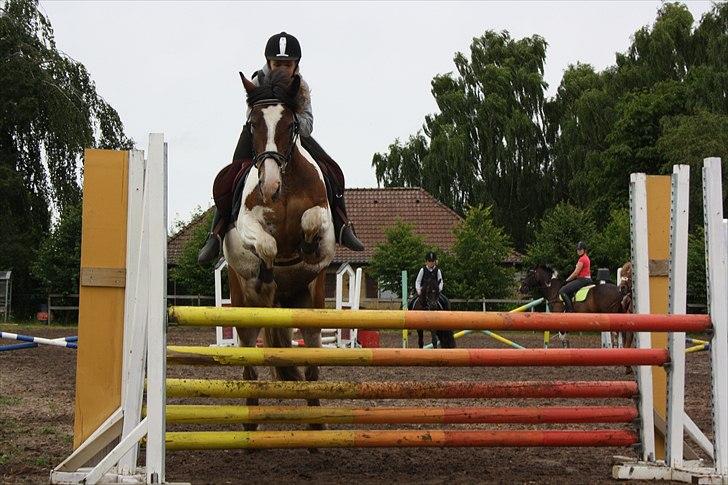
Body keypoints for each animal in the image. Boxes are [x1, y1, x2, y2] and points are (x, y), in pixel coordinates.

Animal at [222, 69, 336, 432]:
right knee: (249, 370)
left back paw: (317, 425)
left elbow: (312, 222)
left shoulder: (325, 223)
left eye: (290, 125)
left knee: (311, 368)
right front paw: (267, 273)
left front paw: (306, 247)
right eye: (253, 124)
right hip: (244, 313)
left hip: (310, 309)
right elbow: (267, 244)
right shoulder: (246, 224)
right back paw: (249, 425)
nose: (269, 186)